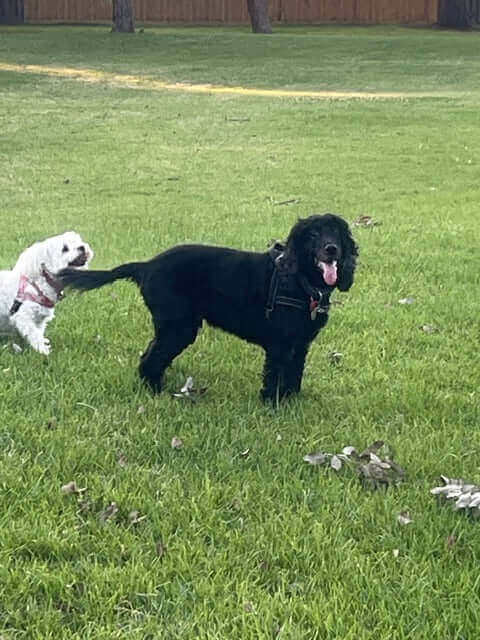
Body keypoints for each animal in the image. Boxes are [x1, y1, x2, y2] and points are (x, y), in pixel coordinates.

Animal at [58, 218, 356, 402]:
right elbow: (275, 375)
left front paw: (292, 399)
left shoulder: (300, 344)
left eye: (337, 233)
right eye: (314, 234)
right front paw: (273, 403)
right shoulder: (280, 345)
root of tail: (147, 265)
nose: (331, 249)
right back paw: (155, 390)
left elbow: (295, 373)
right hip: (179, 327)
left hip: (173, 326)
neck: (299, 280)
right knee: (151, 358)